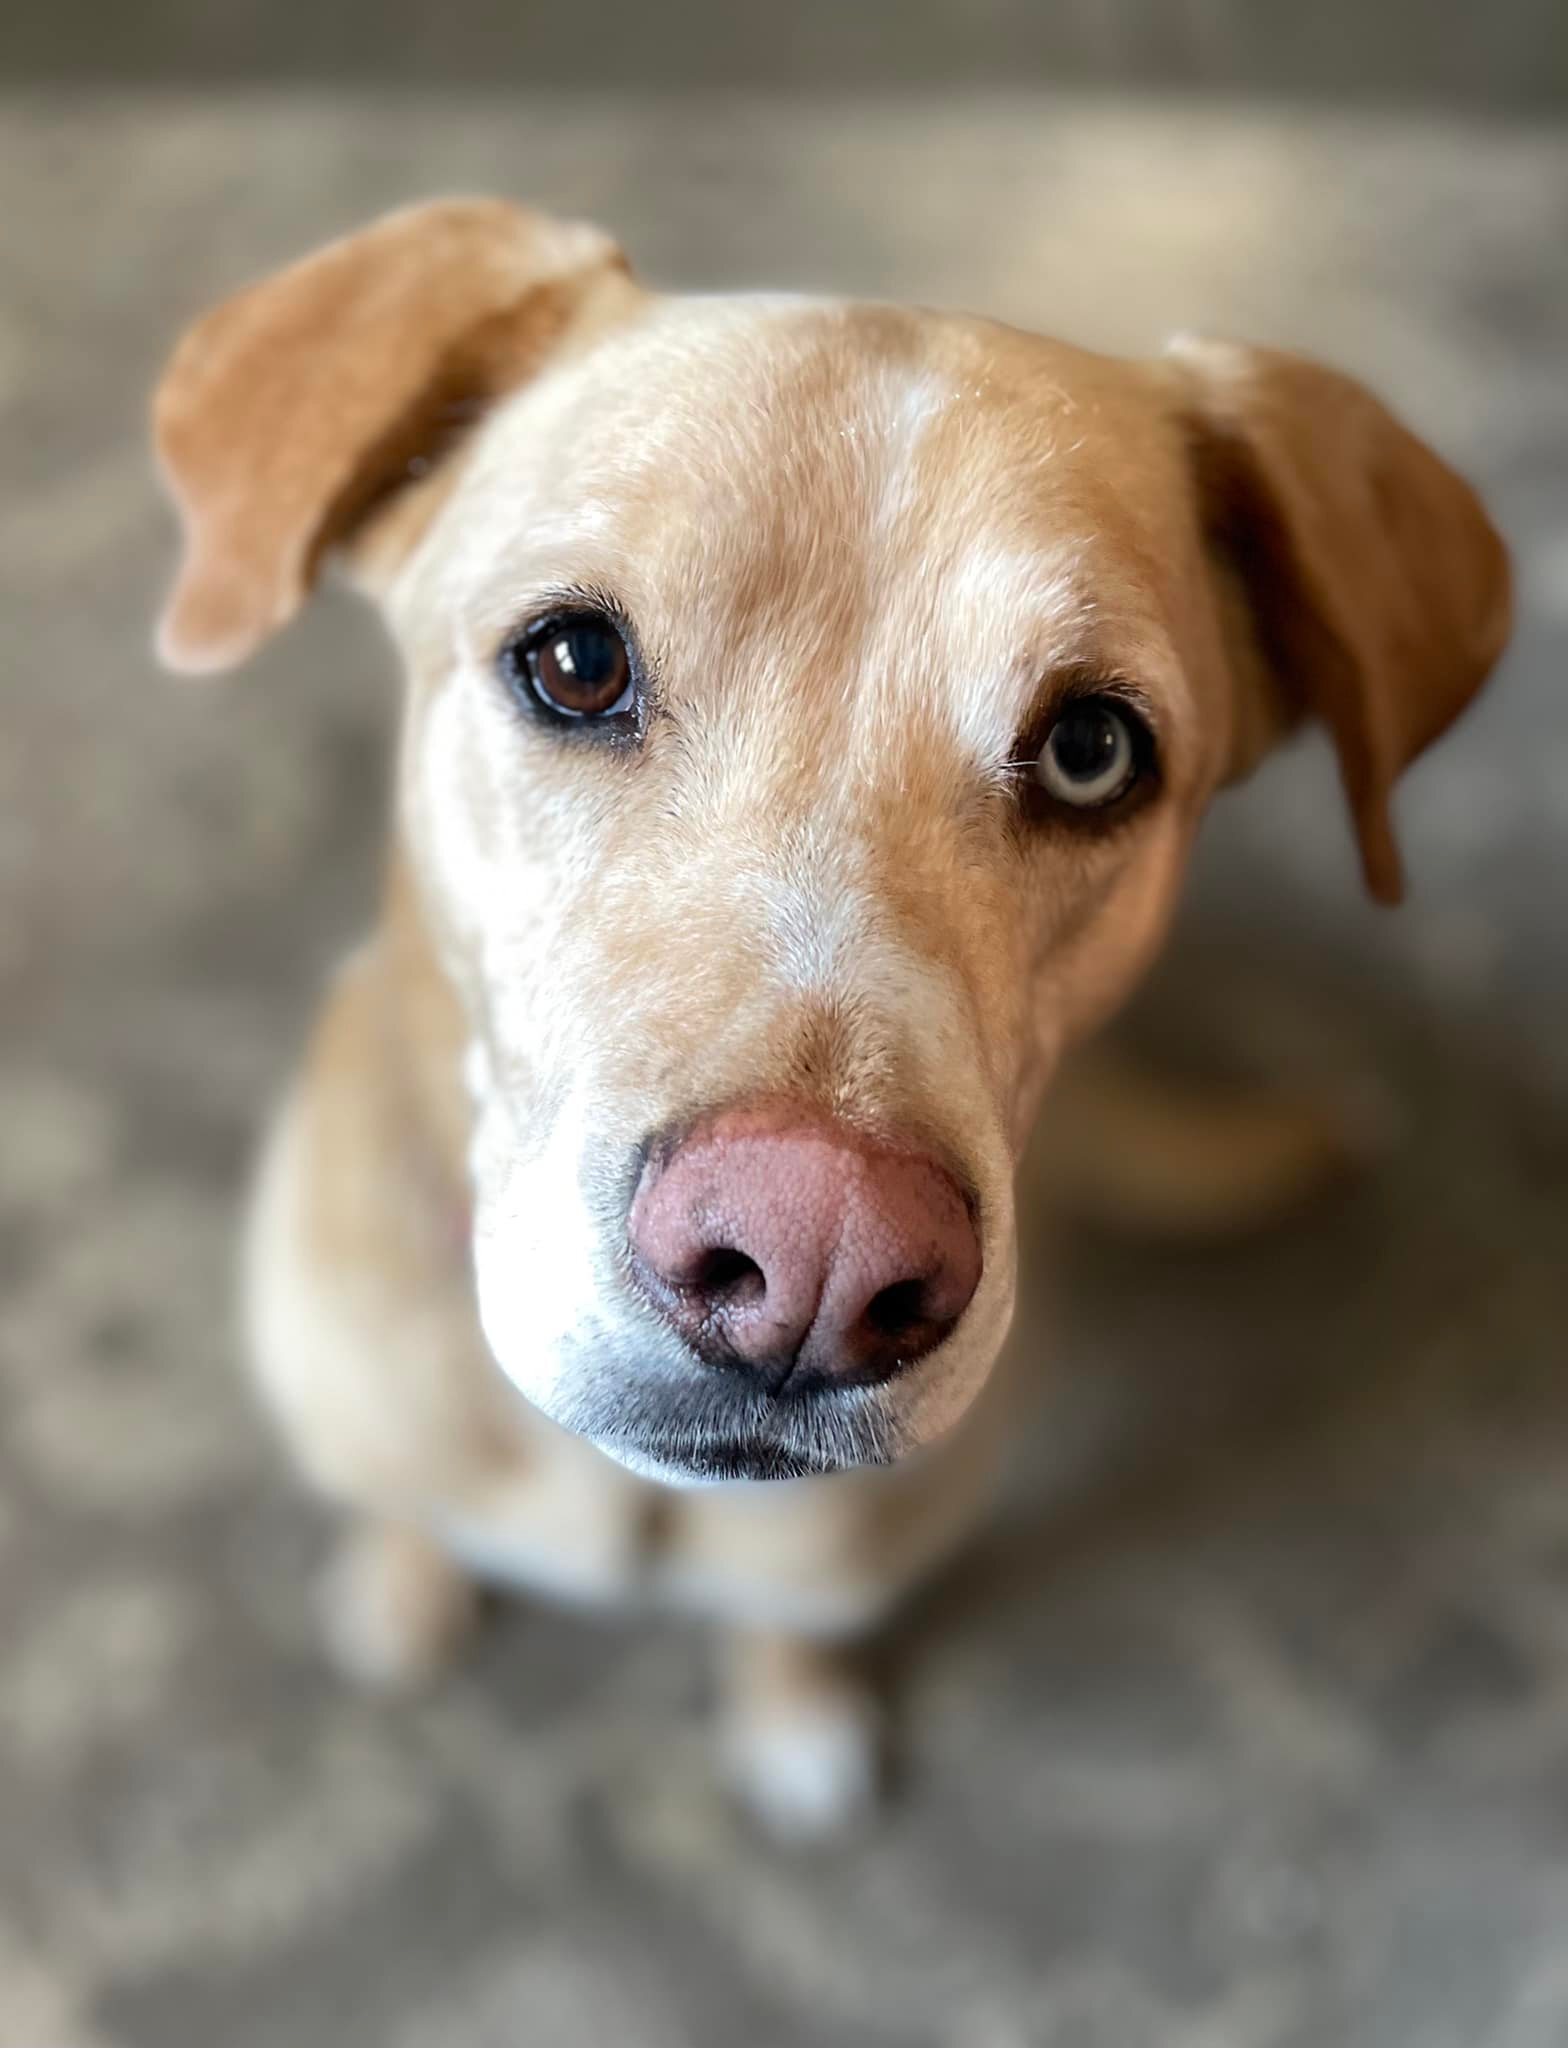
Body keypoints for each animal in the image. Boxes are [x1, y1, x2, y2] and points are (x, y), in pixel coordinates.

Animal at [153, 203, 1514, 1843]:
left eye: (1090, 748)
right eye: (575, 663)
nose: (819, 1258)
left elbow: (788, 1627)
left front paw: (794, 1722)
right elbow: (399, 1514)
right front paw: (397, 1591)